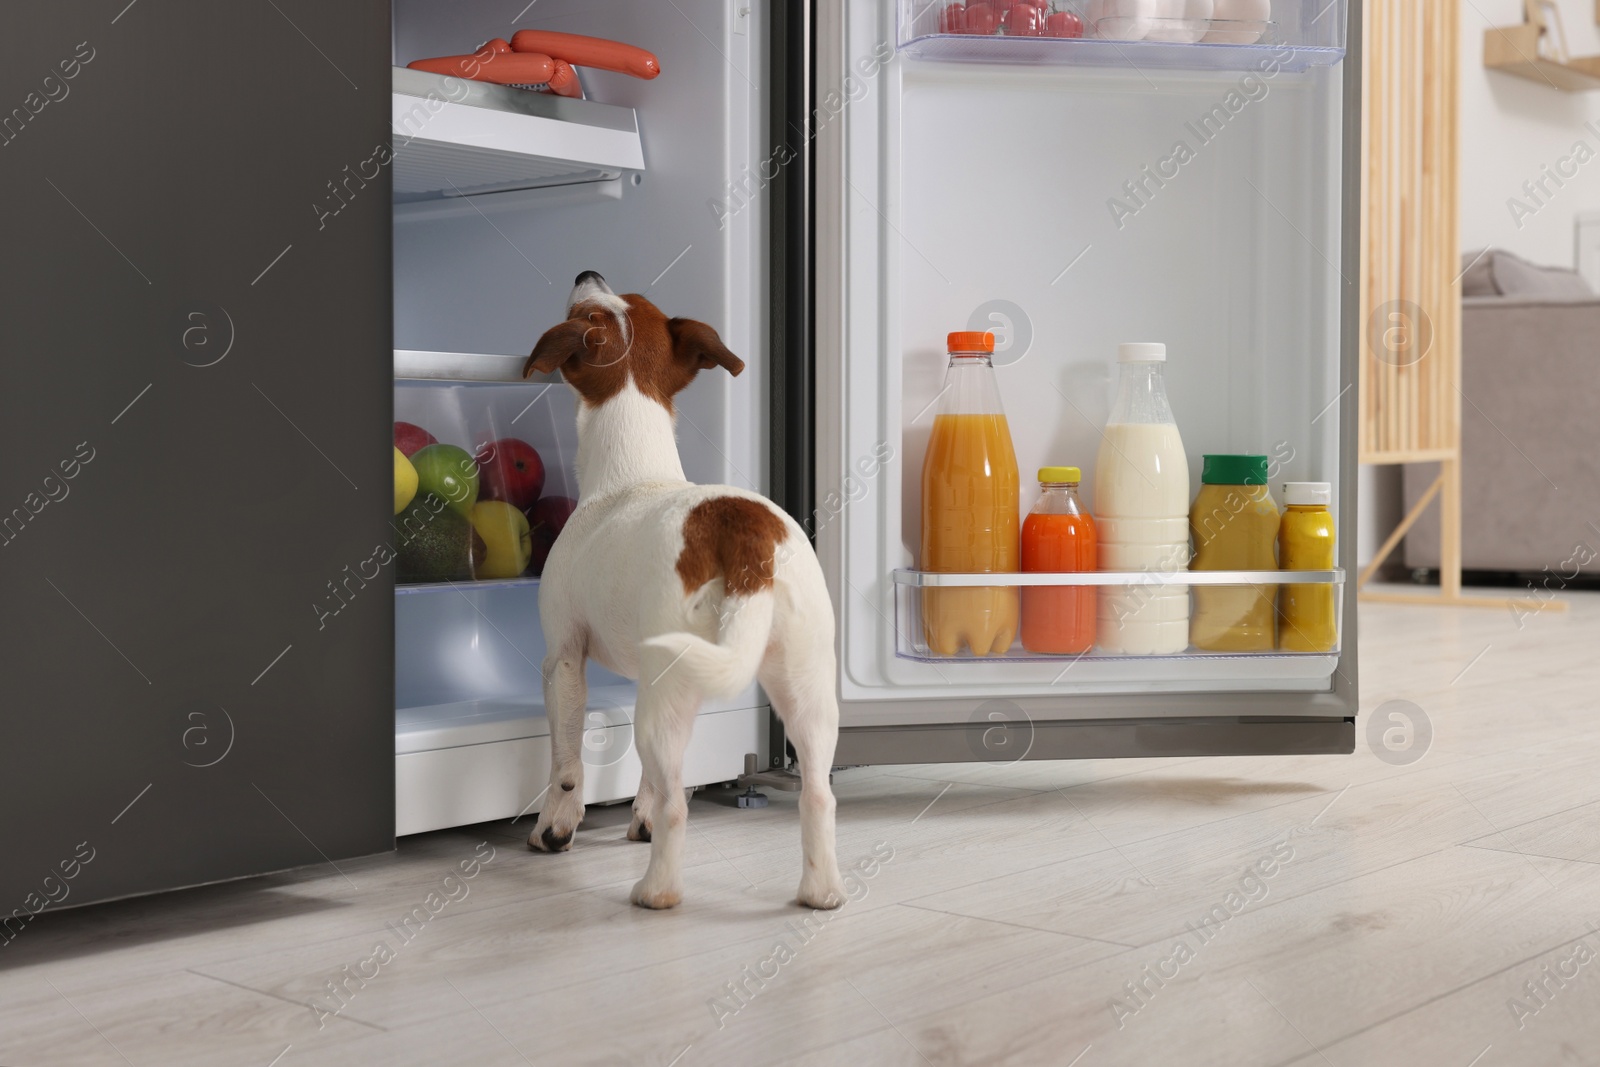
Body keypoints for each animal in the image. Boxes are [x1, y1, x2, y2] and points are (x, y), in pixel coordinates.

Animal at [521, 273, 851, 908]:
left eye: (589, 306)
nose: (585, 271)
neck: (634, 471)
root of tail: (743, 529)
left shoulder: (563, 660)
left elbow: (566, 762)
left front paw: (556, 827)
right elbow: (649, 782)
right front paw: (638, 817)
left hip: (664, 701)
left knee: (679, 808)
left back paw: (656, 892)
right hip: (805, 688)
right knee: (818, 795)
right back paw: (820, 891)